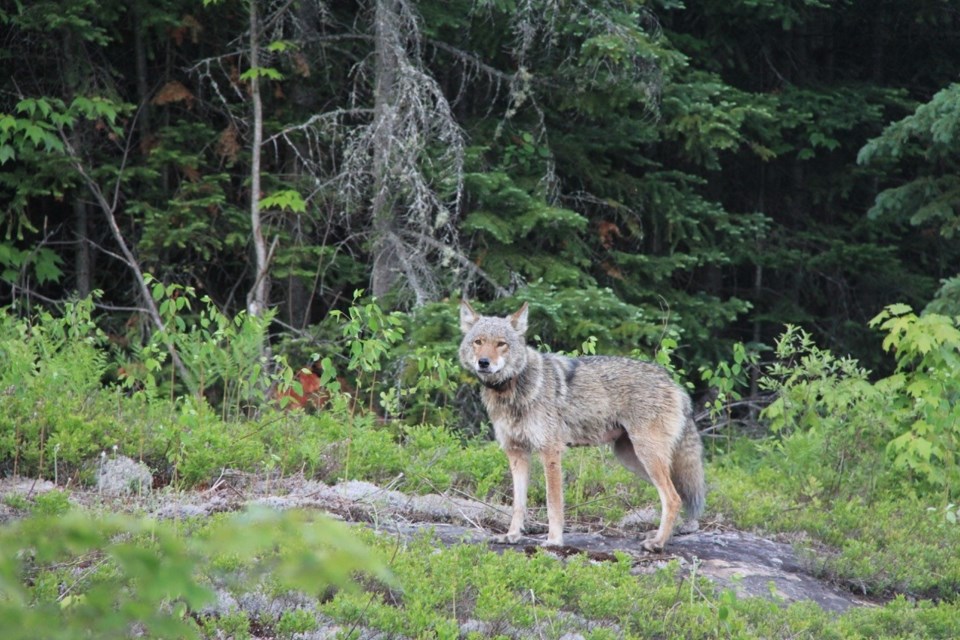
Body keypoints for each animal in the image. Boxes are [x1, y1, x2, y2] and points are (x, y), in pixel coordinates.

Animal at [458, 300, 704, 552]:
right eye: (478, 342)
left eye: (501, 344)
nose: (483, 362)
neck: (513, 389)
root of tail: (674, 383)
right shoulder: (516, 452)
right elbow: (518, 504)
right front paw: (512, 536)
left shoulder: (550, 451)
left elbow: (553, 503)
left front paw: (554, 541)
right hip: (632, 459)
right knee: (676, 496)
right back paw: (662, 536)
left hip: (647, 457)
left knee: (673, 498)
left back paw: (657, 543)